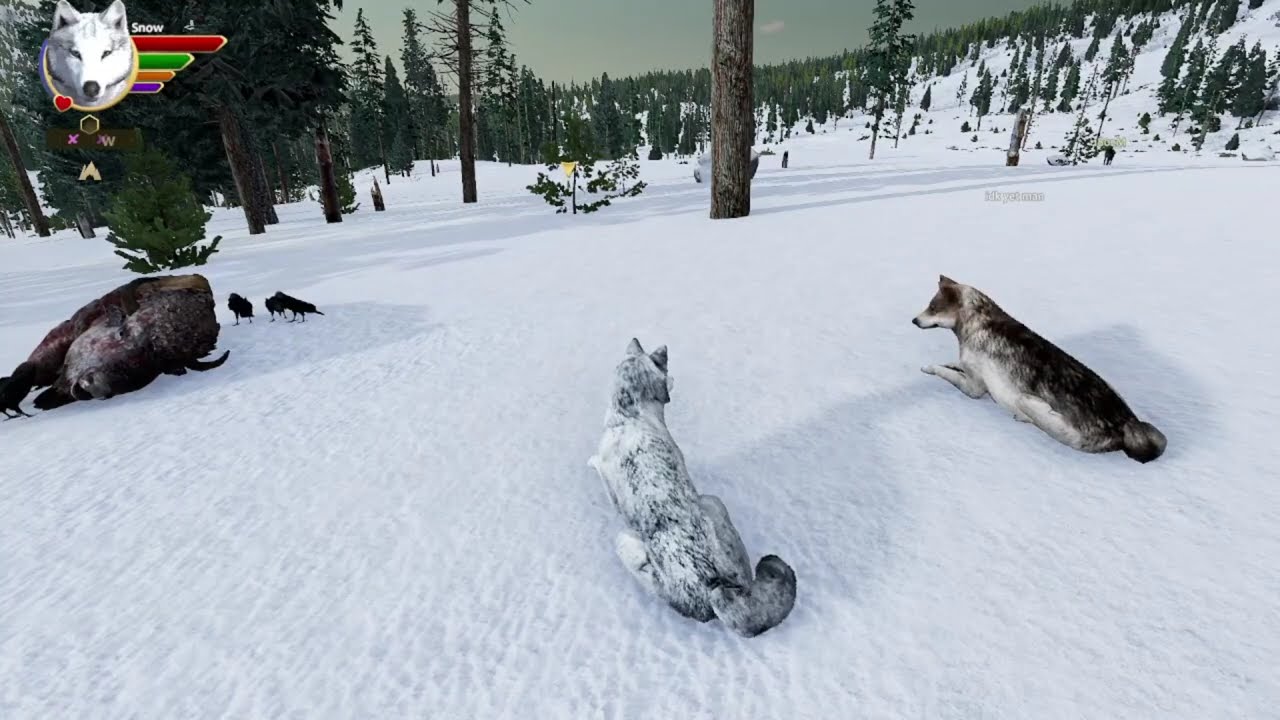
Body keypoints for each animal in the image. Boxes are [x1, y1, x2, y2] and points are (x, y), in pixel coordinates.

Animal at [912, 275, 1167, 463]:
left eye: (932, 308)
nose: (914, 320)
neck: (978, 322)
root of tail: (1127, 423)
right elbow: (954, 365)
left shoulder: (974, 387)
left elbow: (948, 374)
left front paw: (931, 367)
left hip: (1033, 406)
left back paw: (1025, 414)